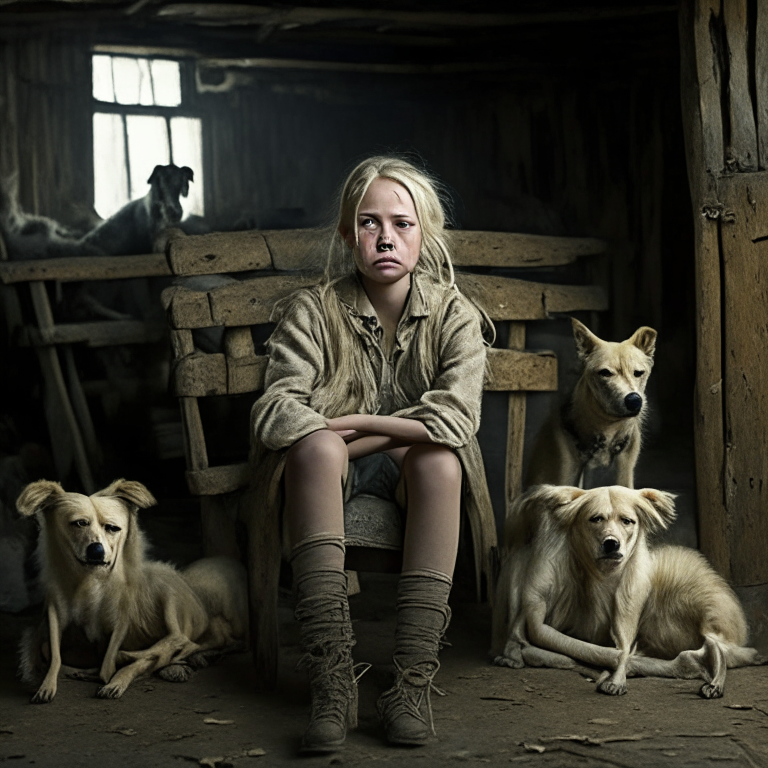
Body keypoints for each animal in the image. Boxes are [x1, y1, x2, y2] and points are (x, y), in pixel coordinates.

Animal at [16, 480, 248, 704]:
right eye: (79, 523)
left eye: (113, 528)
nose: (97, 550)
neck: (89, 580)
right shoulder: (55, 614)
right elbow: (53, 653)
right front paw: (47, 686)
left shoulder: (121, 618)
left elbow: (117, 661)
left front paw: (115, 677)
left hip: (168, 590)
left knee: (182, 638)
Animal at [492, 488, 760, 700]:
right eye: (596, 519)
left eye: (627, 521)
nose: (612, 544)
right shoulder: (538, 580)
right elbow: (543, 636)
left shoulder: (631, 594)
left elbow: (614, 646)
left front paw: (616, 674)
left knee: (716, 644)